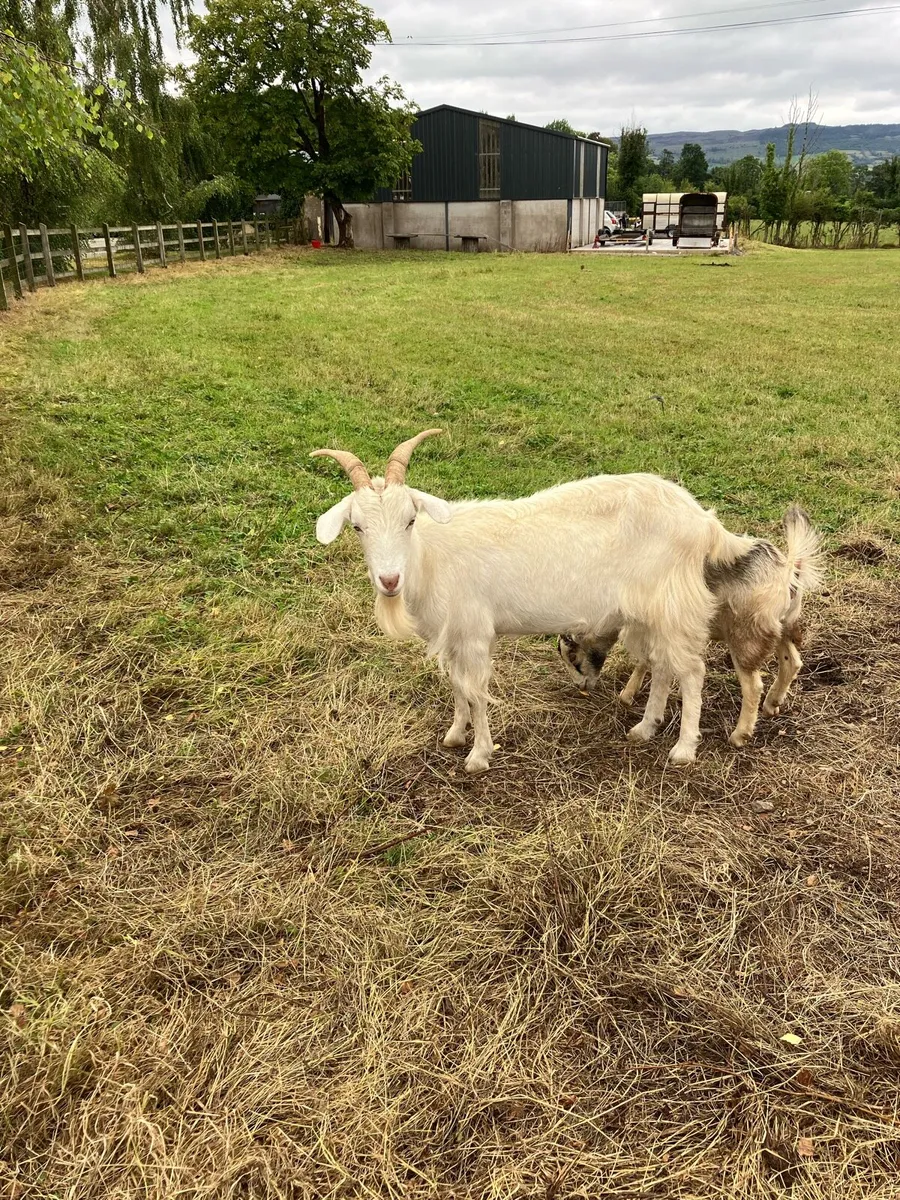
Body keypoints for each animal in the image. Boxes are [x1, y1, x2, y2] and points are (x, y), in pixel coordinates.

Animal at [311, 430, 756, 773]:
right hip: (649, 611)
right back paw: (644, 729)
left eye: (410, 520)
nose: (389, 580)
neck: (433, 556)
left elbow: (475, 692)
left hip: (672, 604)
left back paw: (683, 749)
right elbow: (455, 685)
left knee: (692, 672)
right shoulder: (454, 636)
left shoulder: (474, 633)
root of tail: (705, 522)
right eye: (357, 527)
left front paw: (478, 756)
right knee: (664, 666)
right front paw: (454, 735)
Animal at [557, 506, 823, 747]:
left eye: (573, 656)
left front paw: (628, 696)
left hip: (746, 636)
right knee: (792, 661)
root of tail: (788, 570)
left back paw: (740, 735)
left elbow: (645, 660)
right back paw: (772, 703)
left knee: (753, 686)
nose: (581, 687)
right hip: (780, 627)